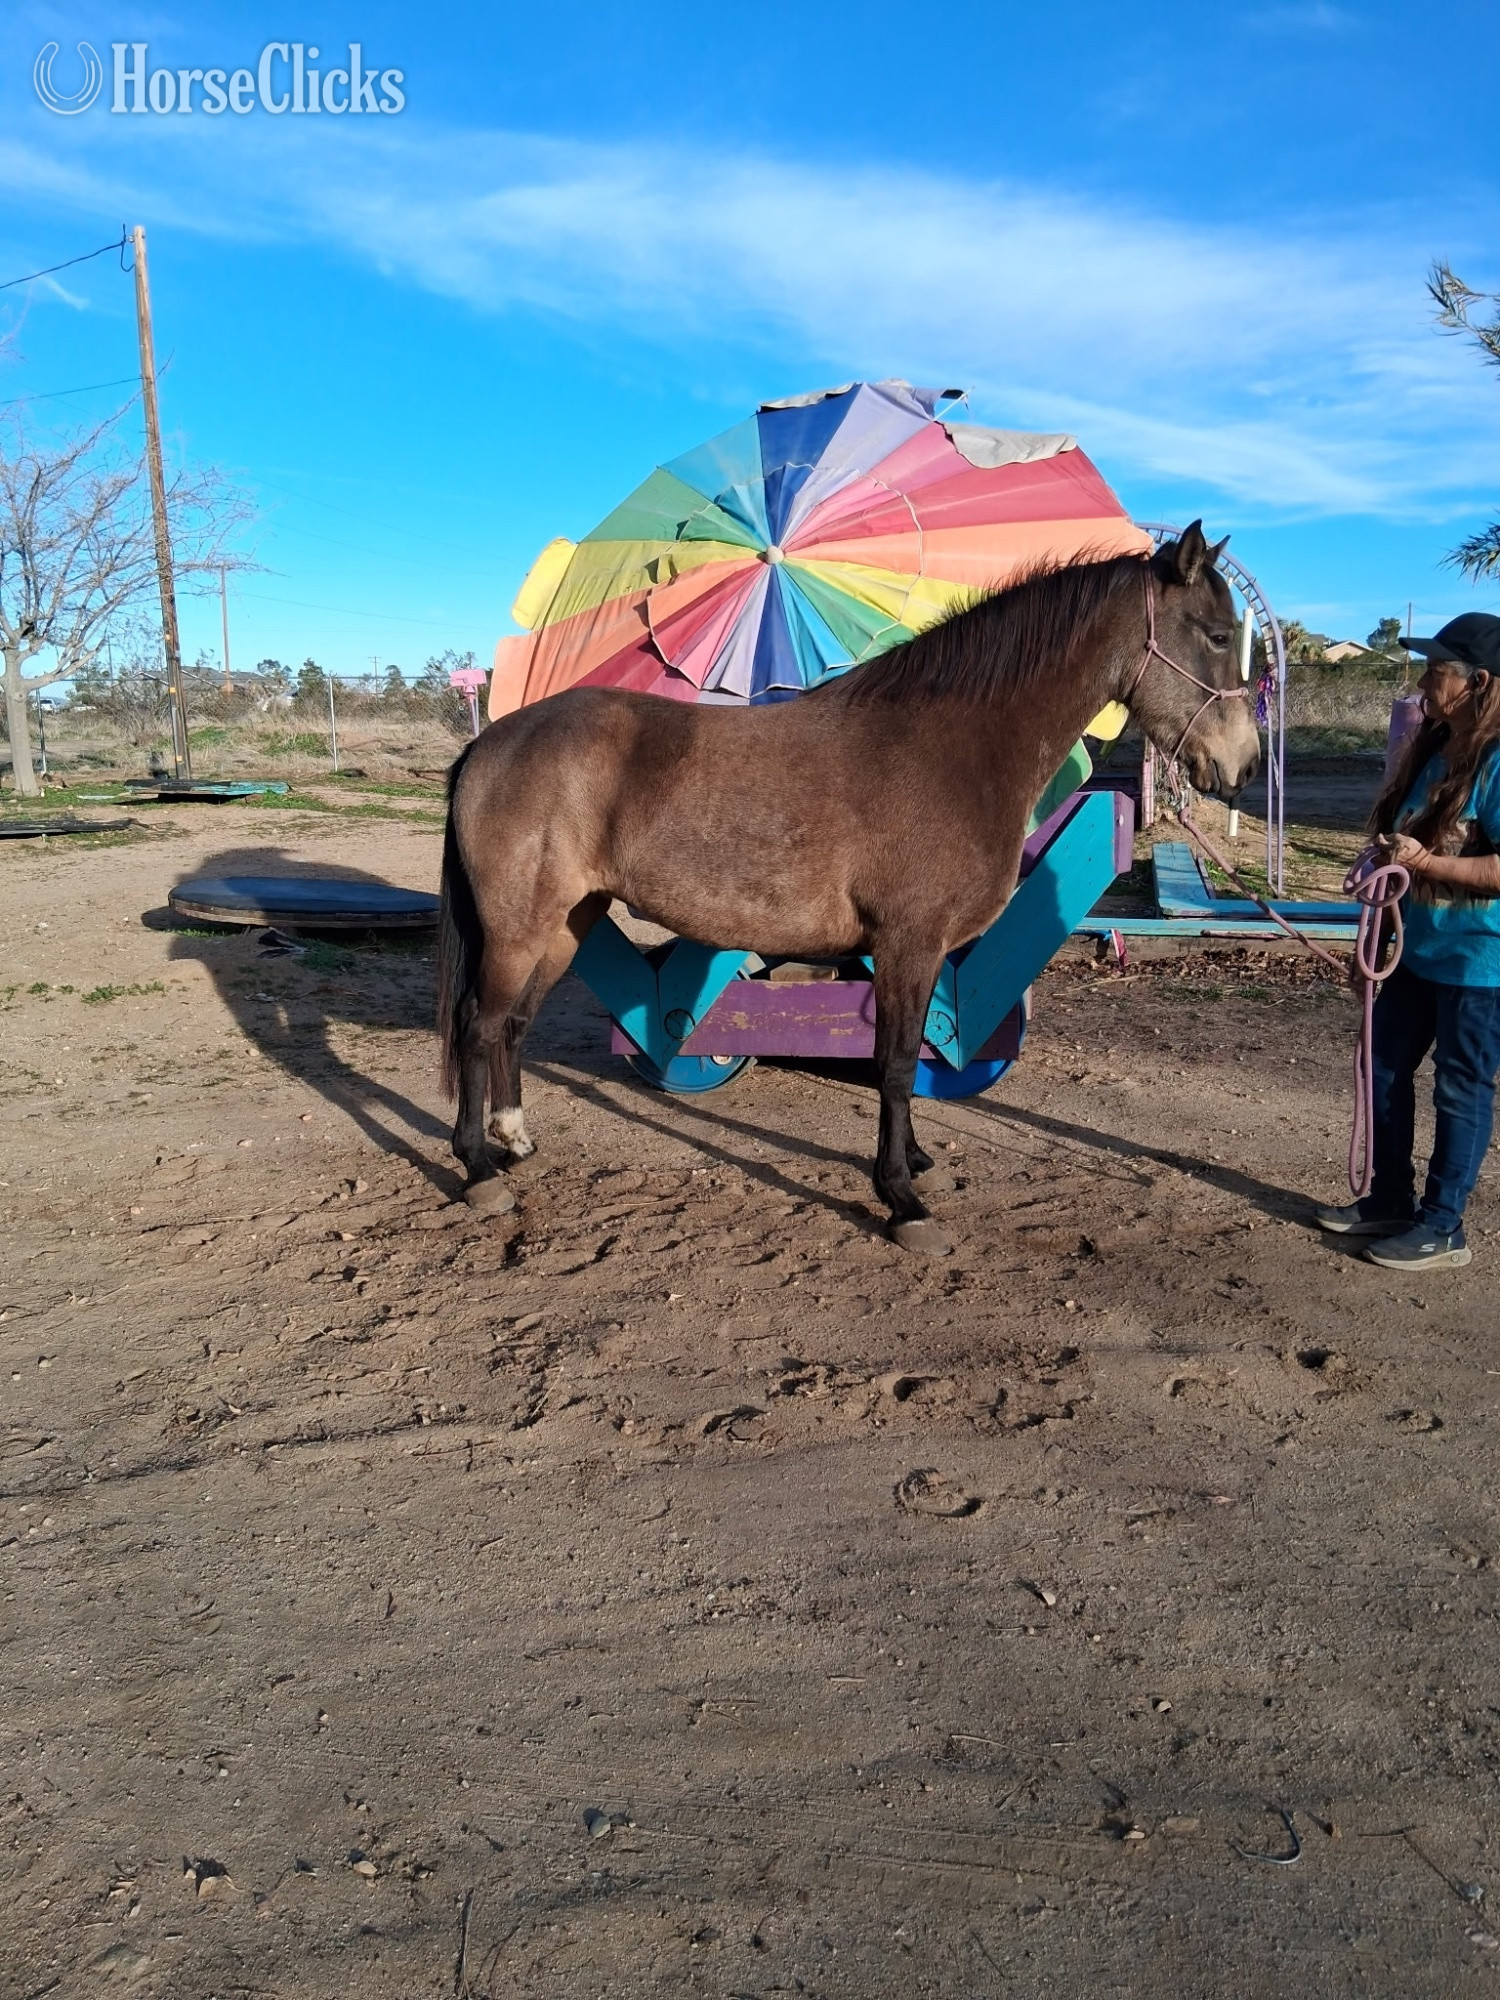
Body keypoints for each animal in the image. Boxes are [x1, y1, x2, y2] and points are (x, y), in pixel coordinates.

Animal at [437, 521, 1260, 1252]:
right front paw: (901, 1199)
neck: (955, 745)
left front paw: (915, 1163)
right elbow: (892, 1065)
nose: (1243, 764)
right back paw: (478, 1168)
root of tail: (490, 741)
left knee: (513, 1024)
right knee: (479, 1022)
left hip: (567, 923)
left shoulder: (920, 952)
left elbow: (911, 1051)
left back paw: (514, 1140)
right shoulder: (907, 944)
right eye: (1218, 636)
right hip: (519, 927)